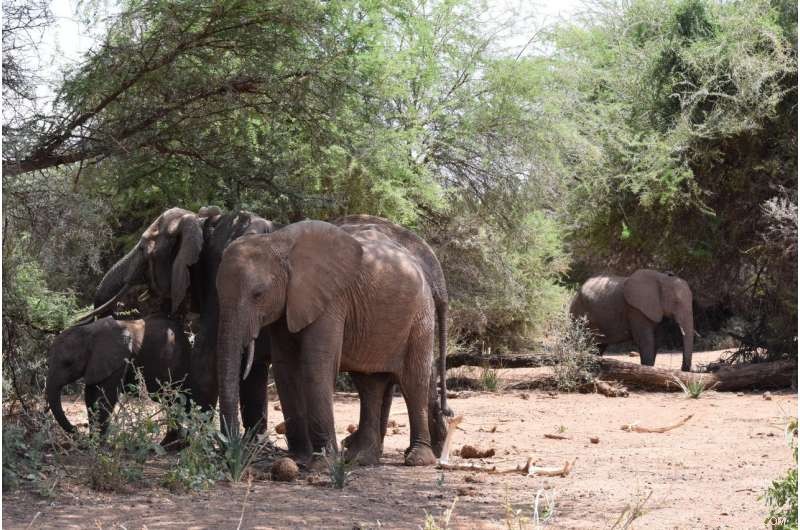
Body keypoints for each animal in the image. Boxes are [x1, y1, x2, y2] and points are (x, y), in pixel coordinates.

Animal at [46, 315, 192, 445]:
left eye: (68, 363)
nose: (76, 429)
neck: (88, 331)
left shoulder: (118, 360)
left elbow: (105, 397)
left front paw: (98, 443)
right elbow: (91, 396)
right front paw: (92, 441)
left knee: (172, 397)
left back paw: (174, 444)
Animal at [215, 220, 440, 467]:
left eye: (258, 294)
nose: (232, 453)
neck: (278, 243)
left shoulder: (330, 301)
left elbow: (316, 366)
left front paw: (323, 463)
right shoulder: (288, 304)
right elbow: (286, 369)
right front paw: (298, 458)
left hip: (420, 316)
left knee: (413, 382)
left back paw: (418, 459)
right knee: (369, 385)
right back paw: (360, 458)